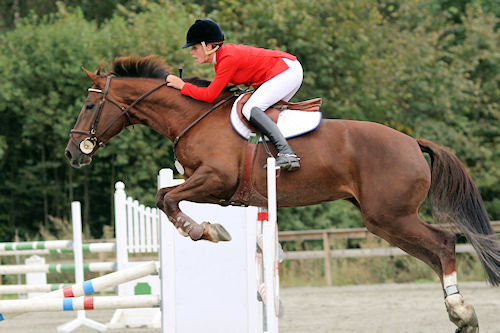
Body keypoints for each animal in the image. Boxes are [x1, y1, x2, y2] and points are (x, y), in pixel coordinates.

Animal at [64, 55, 498, 330]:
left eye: (89, 106)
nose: (72, 153)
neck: (192, 117)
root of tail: (411, 142)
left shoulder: (215, 178)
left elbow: (166, 199)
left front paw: (202, 231)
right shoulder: (216, 190)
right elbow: (167, 197)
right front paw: (210, 229)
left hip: (391, 215)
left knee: (443, 243)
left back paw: (461, 311)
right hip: (384, 221)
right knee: (433, 253)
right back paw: (460, 313)